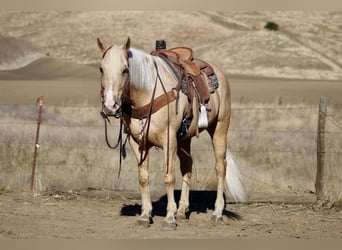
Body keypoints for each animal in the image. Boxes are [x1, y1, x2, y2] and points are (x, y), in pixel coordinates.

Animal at [96, 37, 246, 230]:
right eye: (101, 69)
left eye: (125, 70)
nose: (109, 105)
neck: (147, 93)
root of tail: (218, 72)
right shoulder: (138, 143)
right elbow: (143, 178)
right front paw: (145, 216)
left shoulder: (169, 141)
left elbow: (168, 177)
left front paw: (169, 218)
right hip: (184, 139)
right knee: (187, 167)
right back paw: (182, 211)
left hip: (220, 128)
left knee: (220, 167)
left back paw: (217, 212)